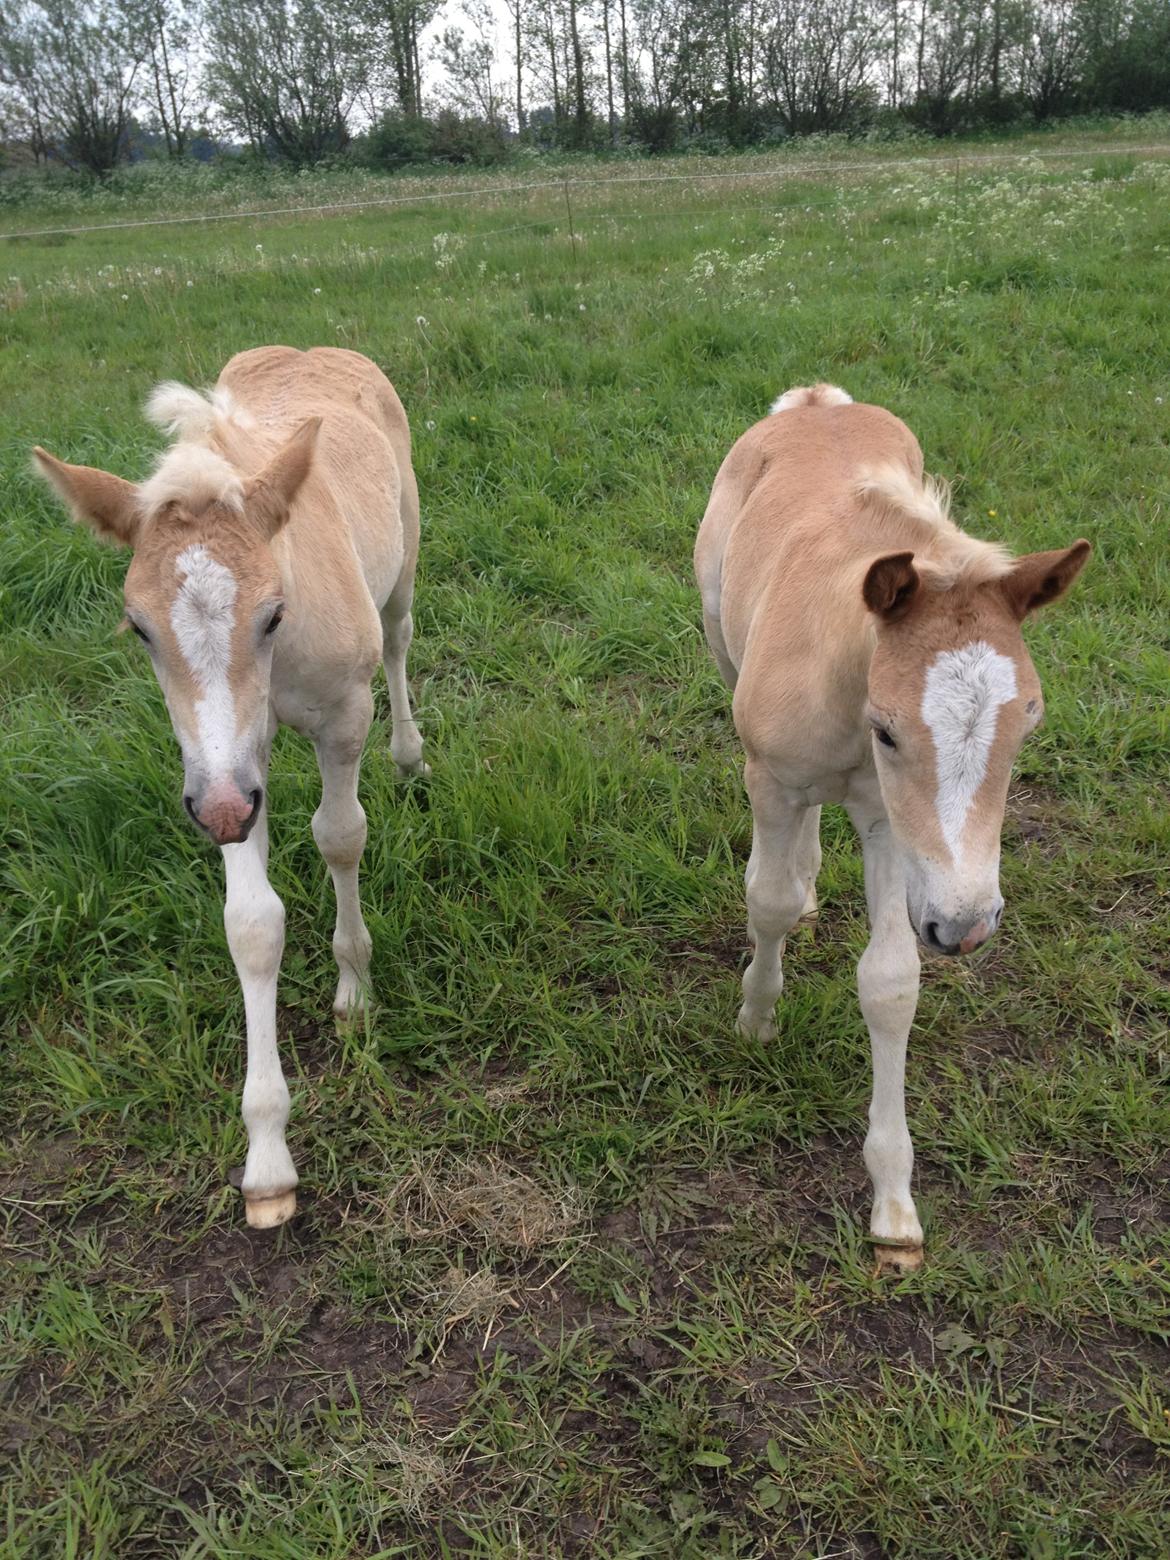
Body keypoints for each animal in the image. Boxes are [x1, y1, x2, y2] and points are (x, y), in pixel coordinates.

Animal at [35, 344, 430, 1229]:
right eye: (138, 627)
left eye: (274, 613)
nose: (216, 811)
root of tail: (317, 350)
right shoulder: (229, 764)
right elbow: (252, 923)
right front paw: (268, 1159)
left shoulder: (340, 718)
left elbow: (340, 836)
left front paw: (356, 988)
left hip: (404, 560)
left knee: (400, 638)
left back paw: (409, 755)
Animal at [695, 383, 1092, 1272]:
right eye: (887, 731)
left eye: (1030, 723)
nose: (968, 927)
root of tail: (816, 398)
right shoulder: (772, 777)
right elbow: (766, 900)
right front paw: (757, 1018)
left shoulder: (886, 823)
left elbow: (890, 982)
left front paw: (894, 1204)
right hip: (718, 637)